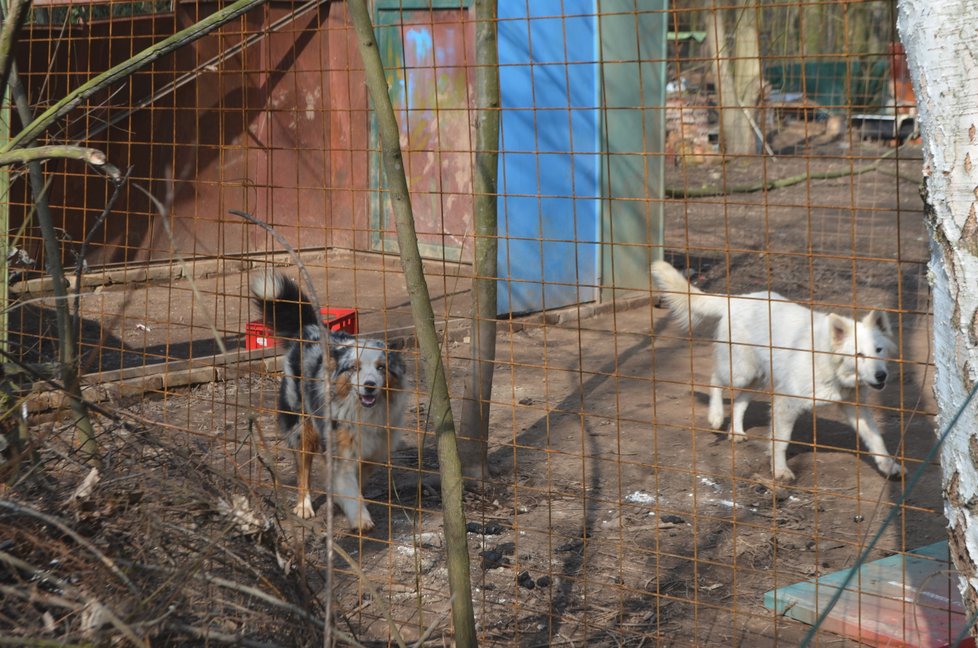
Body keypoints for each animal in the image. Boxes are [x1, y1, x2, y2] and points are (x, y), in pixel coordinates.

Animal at [252, 270, 408, 528]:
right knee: (303, 471)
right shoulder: (340, 452)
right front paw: (360, 519)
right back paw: (304, 506)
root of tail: (311, 328)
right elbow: (350, 489)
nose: (369, 387)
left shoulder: (372, 454)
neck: (362, 412)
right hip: (303, 428)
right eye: (354, 368)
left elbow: (357, 487)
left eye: (381, 367)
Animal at [648, 260, 900, 480]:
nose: (882, 376)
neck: (828, 362)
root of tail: (738, 299)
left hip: (757, 378)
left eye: (878, 350)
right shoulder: (785, 404)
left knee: (739, 402)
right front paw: (780, 471)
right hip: (740, 372)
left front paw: (889, 466)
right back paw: (716, 416)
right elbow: (781, 441)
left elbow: (877, 440)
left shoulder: (855, 408)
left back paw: (736, 432)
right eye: (859, 355)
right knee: (715, 379)